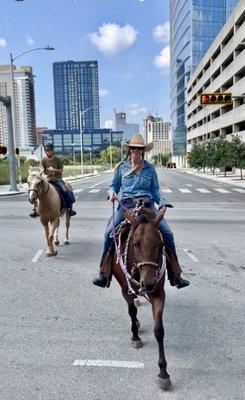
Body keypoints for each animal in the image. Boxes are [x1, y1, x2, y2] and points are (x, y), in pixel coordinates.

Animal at [110, 206, 170, 390]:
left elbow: (159, 330)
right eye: (135, 244)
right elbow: (131, 312)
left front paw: (163, 372)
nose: (148, 283)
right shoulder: (126, 290)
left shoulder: (158, 294)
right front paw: (135, 337)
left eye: (160, 244)